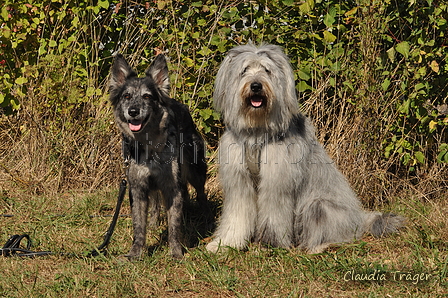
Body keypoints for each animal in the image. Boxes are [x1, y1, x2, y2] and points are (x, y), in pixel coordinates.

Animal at [109, 53, 207, 258]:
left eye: (147, 96)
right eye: (126, 96)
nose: (133, 111)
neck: (149, 146)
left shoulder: (172, 187)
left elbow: (174, 225)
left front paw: (176, 252)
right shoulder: (137, 188)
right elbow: (139, 225)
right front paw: (136, 253)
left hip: (196, 171)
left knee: (200, 192)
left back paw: (204, 215)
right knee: (155, 201)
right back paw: (154, 223)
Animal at [206, 43, 406, 254]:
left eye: (267, 70)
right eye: (244, 70)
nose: (256, 86)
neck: (258, 133)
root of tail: (359, 218)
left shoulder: (277, 183)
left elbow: (274, 216)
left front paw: (270, 245)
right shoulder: (239, 182)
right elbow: (237, 216)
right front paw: (225, 244)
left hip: (319, 205)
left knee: (339, 234)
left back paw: (319, 247)